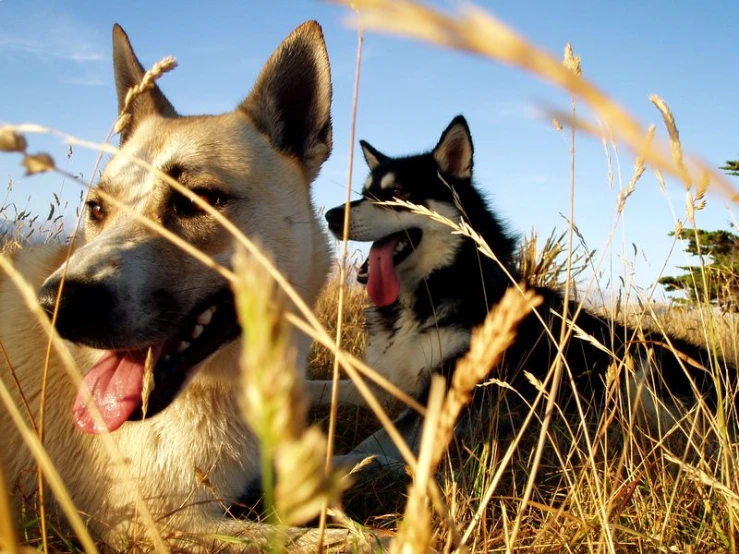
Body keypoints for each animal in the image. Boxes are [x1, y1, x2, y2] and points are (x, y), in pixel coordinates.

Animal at [1, 22, 382, 552]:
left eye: (195, 200)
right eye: (96, 209)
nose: (53, 303)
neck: (228, 387)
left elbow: (338, 401)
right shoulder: (161, 524)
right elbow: (365, 540)